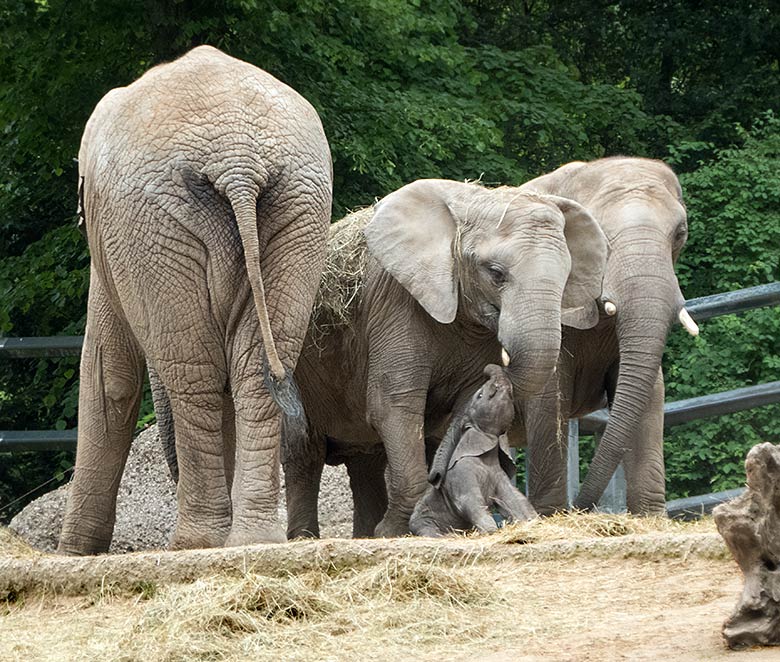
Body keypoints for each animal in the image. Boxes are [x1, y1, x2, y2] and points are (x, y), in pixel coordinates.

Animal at [57, 44, 332, 556]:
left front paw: (72, 554)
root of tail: (239, 162)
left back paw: (194, 543)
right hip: (298, 210)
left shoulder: (110, 244)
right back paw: (251, 540)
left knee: (192, 371)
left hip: (151, 224)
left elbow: (109, 375)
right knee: (256, 369)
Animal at [408, 364, 536, 540]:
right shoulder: (461, 473)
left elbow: (513, 498)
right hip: (422, 521)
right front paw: (491, 532)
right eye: (480, 395)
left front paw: (533, 522)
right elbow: (469, 501)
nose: (487, 370)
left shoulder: (498, 474)